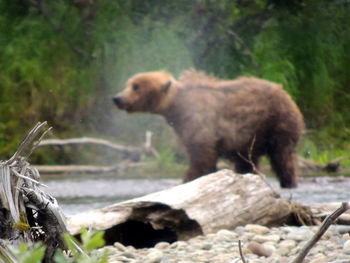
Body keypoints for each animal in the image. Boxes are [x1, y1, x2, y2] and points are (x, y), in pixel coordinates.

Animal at [113, 69, 304, 189]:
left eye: (136, 87)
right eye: (129, 83)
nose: (117, 98)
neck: (175, 108)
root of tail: (286, 93)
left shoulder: (200, 122)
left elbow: (201, 156)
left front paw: (188, 179)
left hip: (277, 123)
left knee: (282, 157)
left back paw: (288, 182)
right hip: (251, 137)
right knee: (247, 161)